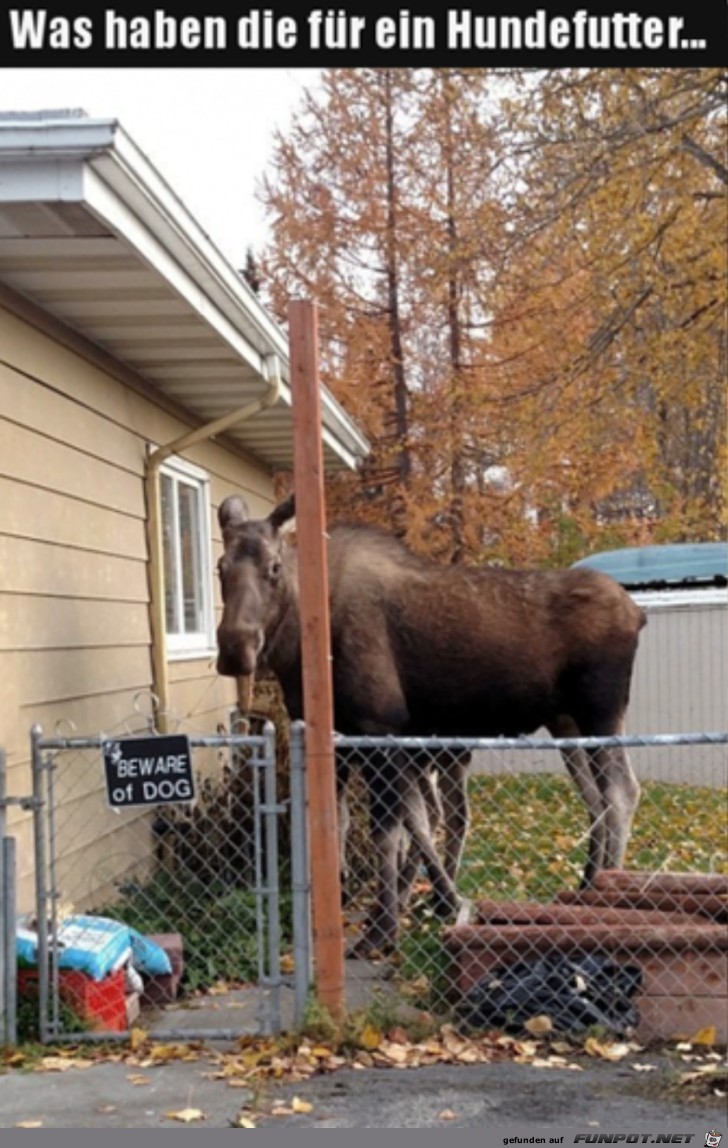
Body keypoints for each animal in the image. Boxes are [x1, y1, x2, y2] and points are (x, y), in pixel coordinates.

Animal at [212, 493, 643, 950]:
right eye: (220, 566)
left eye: (274, 567)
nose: (235, 648)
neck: (299, 649)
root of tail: (637, 614)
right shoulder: (346, 742)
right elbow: (357, 822)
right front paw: (399, 900)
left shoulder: (379, 729)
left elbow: (389, 832)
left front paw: (383, 928)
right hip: (566, 725)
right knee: (594, 800)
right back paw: (586, 884)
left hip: (600, 713)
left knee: (621, 792)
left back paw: (605, 895)